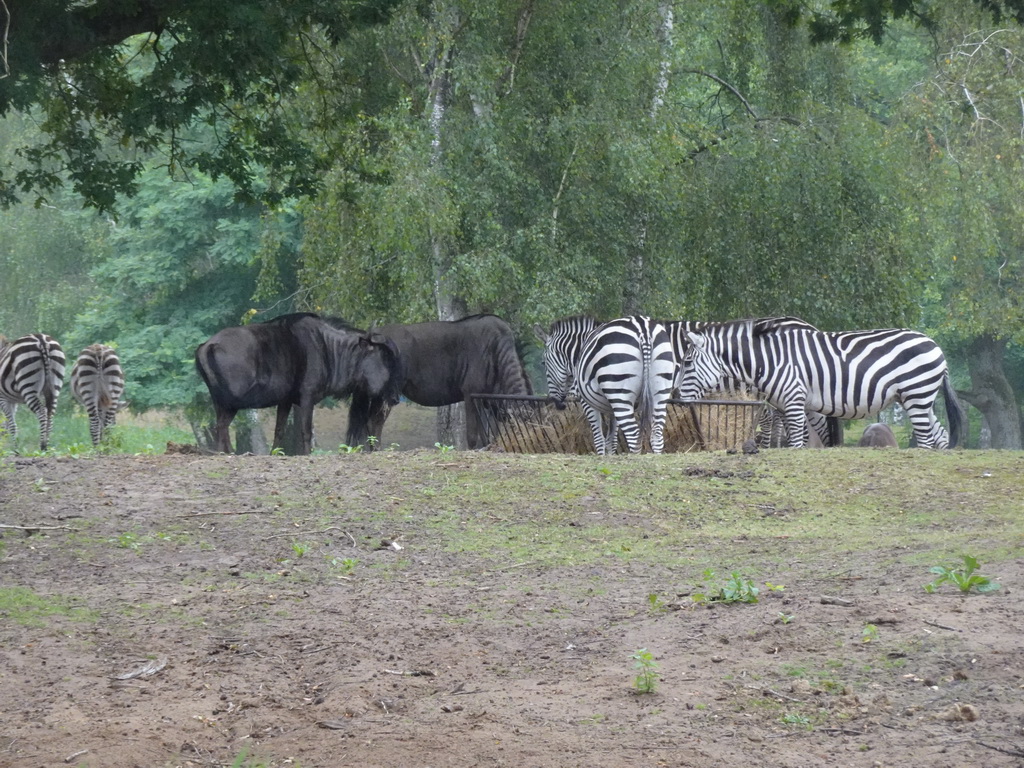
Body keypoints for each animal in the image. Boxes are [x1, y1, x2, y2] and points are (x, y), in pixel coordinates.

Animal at [536, 315, 679, 454]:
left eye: (543, 363)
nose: (557, 404)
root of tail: (642, 328)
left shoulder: (587, 403)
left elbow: (599, 440)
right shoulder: (611, 408)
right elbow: (612, 441)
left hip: (620, 394)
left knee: (633, 435)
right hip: (660, 392)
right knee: (657, 436)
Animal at [675, 319, 962, 450]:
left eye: (687, 362)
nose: (677, 398)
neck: (770, 360)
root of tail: (935, 345)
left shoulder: (793, 399)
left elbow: (796, 442)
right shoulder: (787, 405)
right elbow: (797, 440)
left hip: (917, 395)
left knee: (926, 439)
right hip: (917, 398)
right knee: (939, 434)